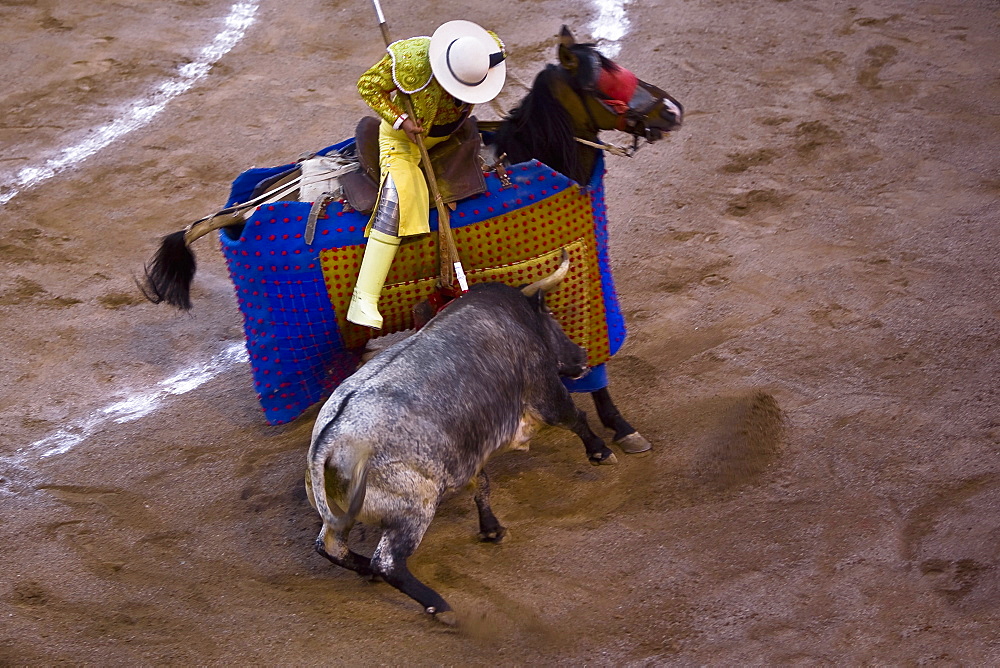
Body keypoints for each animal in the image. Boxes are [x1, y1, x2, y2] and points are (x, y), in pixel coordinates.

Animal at [139, 23, 680, 456]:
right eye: (603, 77)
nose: (671, 110)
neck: (540, 157)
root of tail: (245, 207)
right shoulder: (573, 292)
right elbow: (592, 366)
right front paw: (621, 428)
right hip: (297, 348)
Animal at [304, 253, 616, 624]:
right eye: (550, 315)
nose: (582, 356)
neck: (512, 316)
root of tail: (327, 443)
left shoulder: (467, 452)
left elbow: (481, 485)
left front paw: (492, 528)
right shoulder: (546, 393)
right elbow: (575, 418)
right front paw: (600, 452)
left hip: (345, 514)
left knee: (331, 546)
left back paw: (366, 570)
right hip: (415, 508)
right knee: (389, 562)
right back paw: (438, 606)